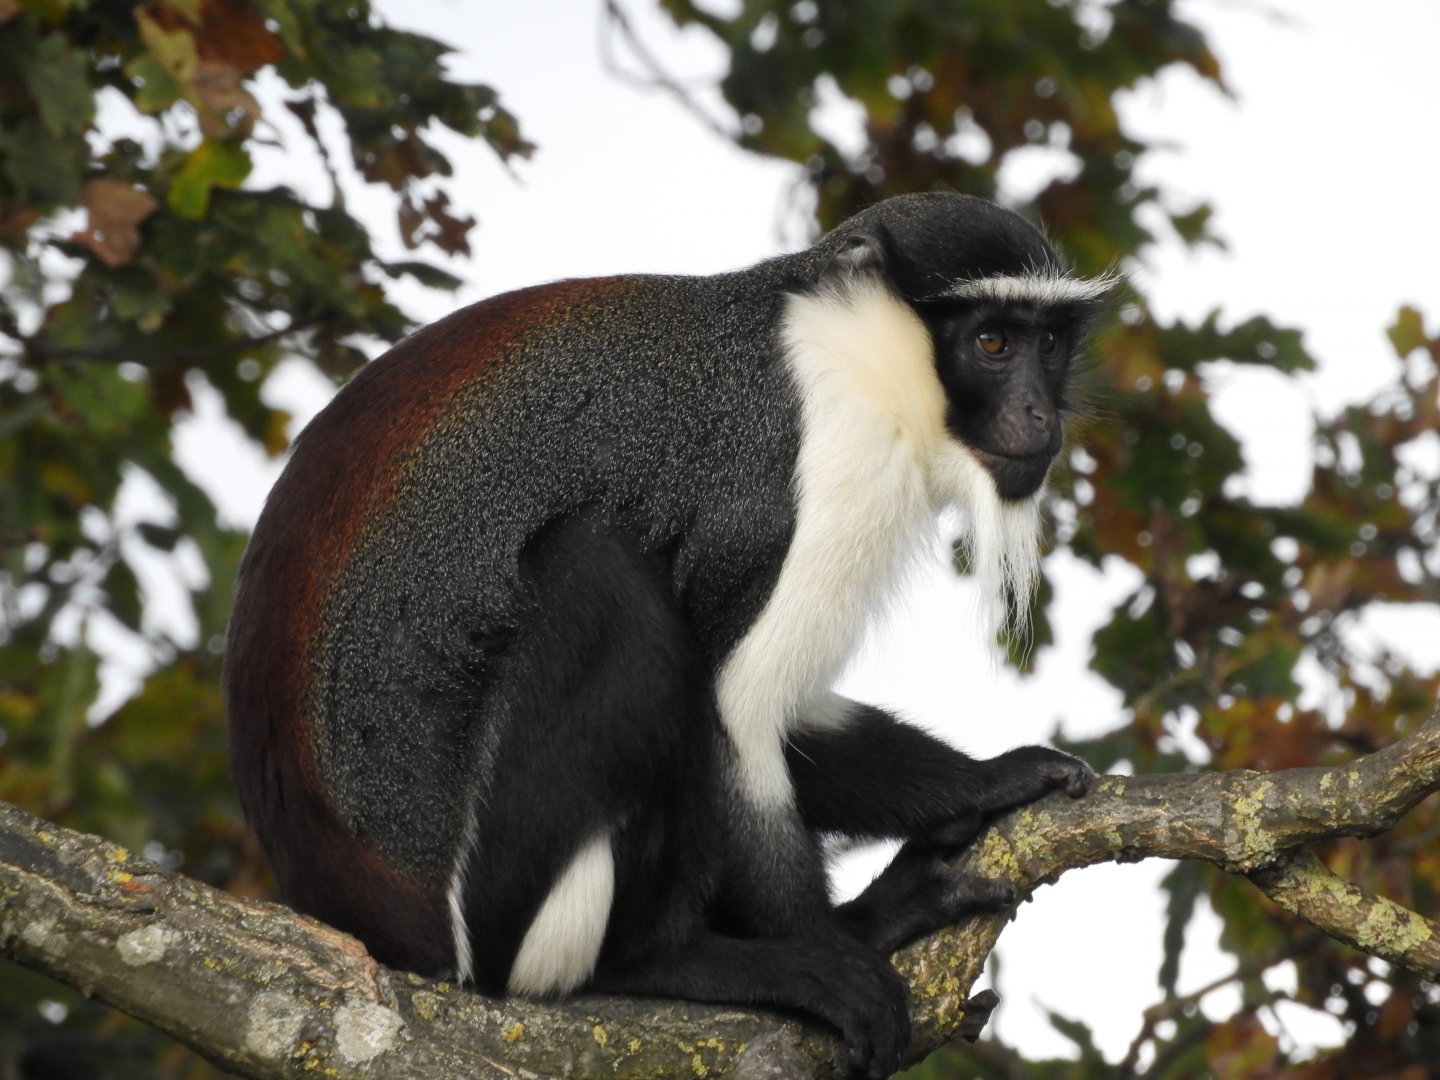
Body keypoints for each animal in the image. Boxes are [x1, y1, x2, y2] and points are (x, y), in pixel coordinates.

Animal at [225, 192, 1109, 1079]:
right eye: (991, 343)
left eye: (1049, 344)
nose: (1038, 413)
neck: (836, 339)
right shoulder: (811, 467)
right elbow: (735, 713)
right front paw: (831, 950)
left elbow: (790, 718)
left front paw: (986, 781)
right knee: (600, 573)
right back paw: (666, 958)